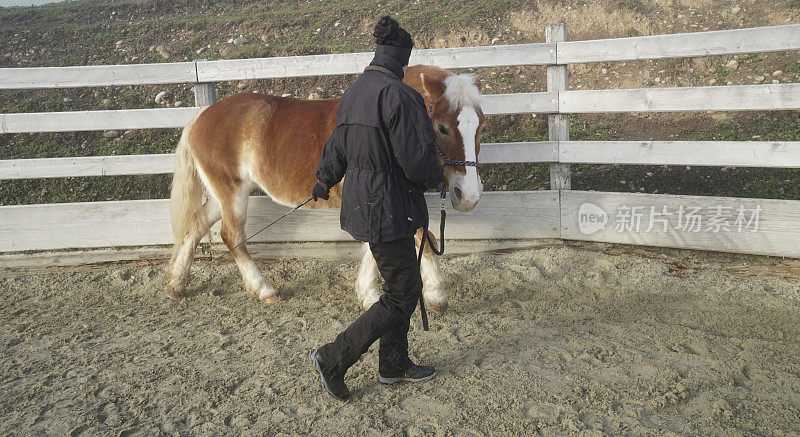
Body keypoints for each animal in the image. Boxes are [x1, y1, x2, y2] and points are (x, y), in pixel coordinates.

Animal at [166, 63, 484, 312]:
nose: (468, 196)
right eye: (442, 128)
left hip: (222, 194)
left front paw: (367, 293)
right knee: (232, 235)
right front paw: (435, 296)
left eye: (481, 127)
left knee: (197, 225)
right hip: (233, 192)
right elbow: (419, 234)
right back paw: (264, 289)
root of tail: (201, 116)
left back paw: (176, 284)